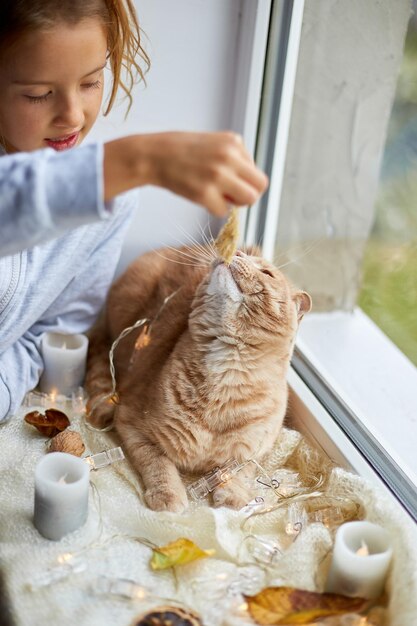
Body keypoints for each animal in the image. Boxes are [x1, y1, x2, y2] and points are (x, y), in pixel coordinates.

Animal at [85, 246, 308, 510]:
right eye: (242, 256)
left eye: (267, 273)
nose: (237, 252)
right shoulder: (131, 423)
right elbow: (157, 462)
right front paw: (168, 495)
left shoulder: (257, 450)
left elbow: (239, 470)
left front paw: (233, 495)